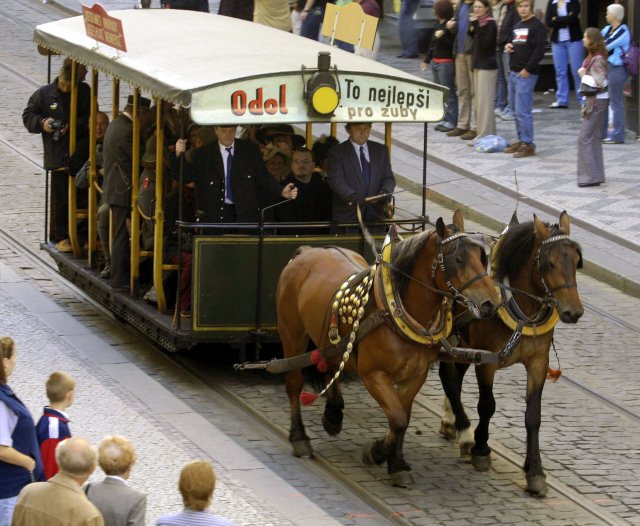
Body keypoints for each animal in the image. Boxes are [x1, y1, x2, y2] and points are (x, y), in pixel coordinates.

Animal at [440, 211, 584, 500]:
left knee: (453, 377)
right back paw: (464, 431)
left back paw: (452, 421)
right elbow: (487, 405)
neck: (520, 309)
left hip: (462, 342)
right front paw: (481, 449)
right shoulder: (487, 361)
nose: (573, 312)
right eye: (550, 263)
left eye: (576, 261)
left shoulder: (539, 363)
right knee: (448, 377)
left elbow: (533, 416)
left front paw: (535, 472)